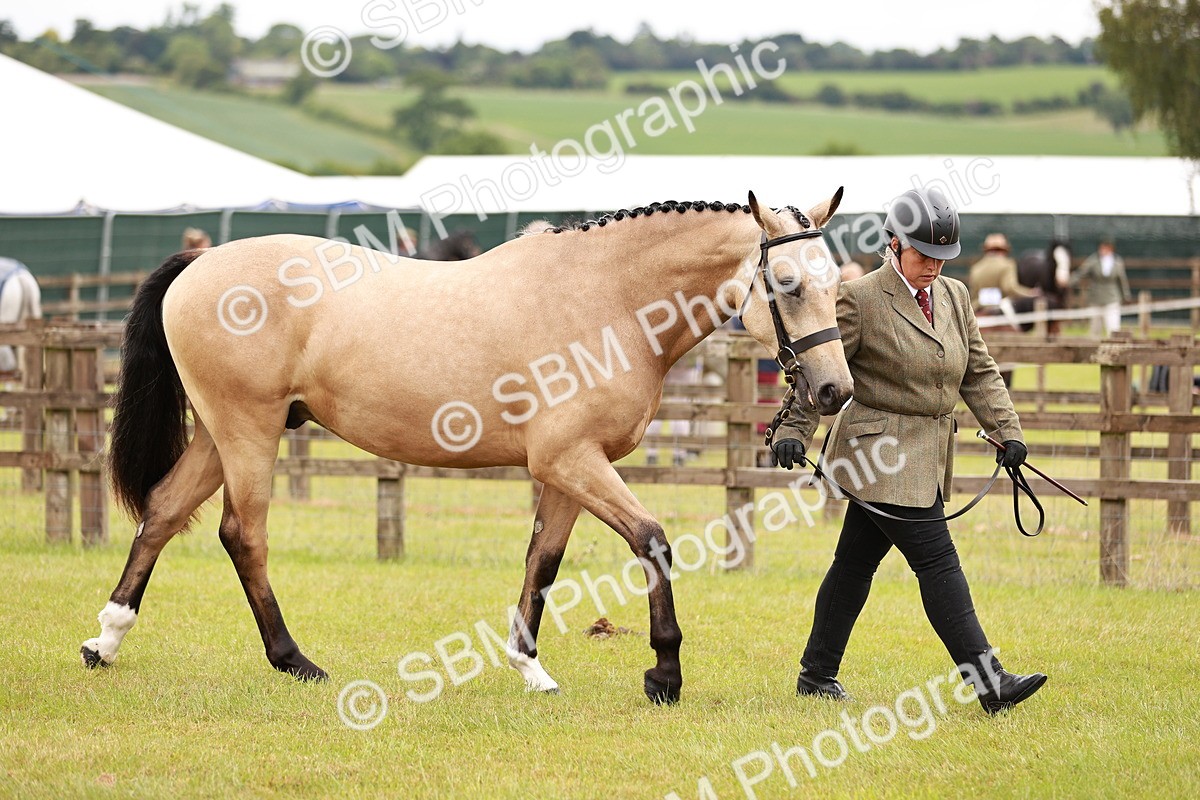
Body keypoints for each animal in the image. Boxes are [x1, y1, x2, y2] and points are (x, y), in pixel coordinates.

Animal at [81, 192, 854, 705]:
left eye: (836, 284)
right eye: (788, 285)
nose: (834, 391)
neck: (605, 299)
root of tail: (200, 262)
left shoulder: (568, 470)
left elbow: (544, 561)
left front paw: (531, 668)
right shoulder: (572, 461)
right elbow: (653, 540)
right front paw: (664, 675)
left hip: (220, 436)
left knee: (161, 513)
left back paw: (106, 639)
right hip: (248, 432)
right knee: (243, 534)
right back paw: (294, 660)